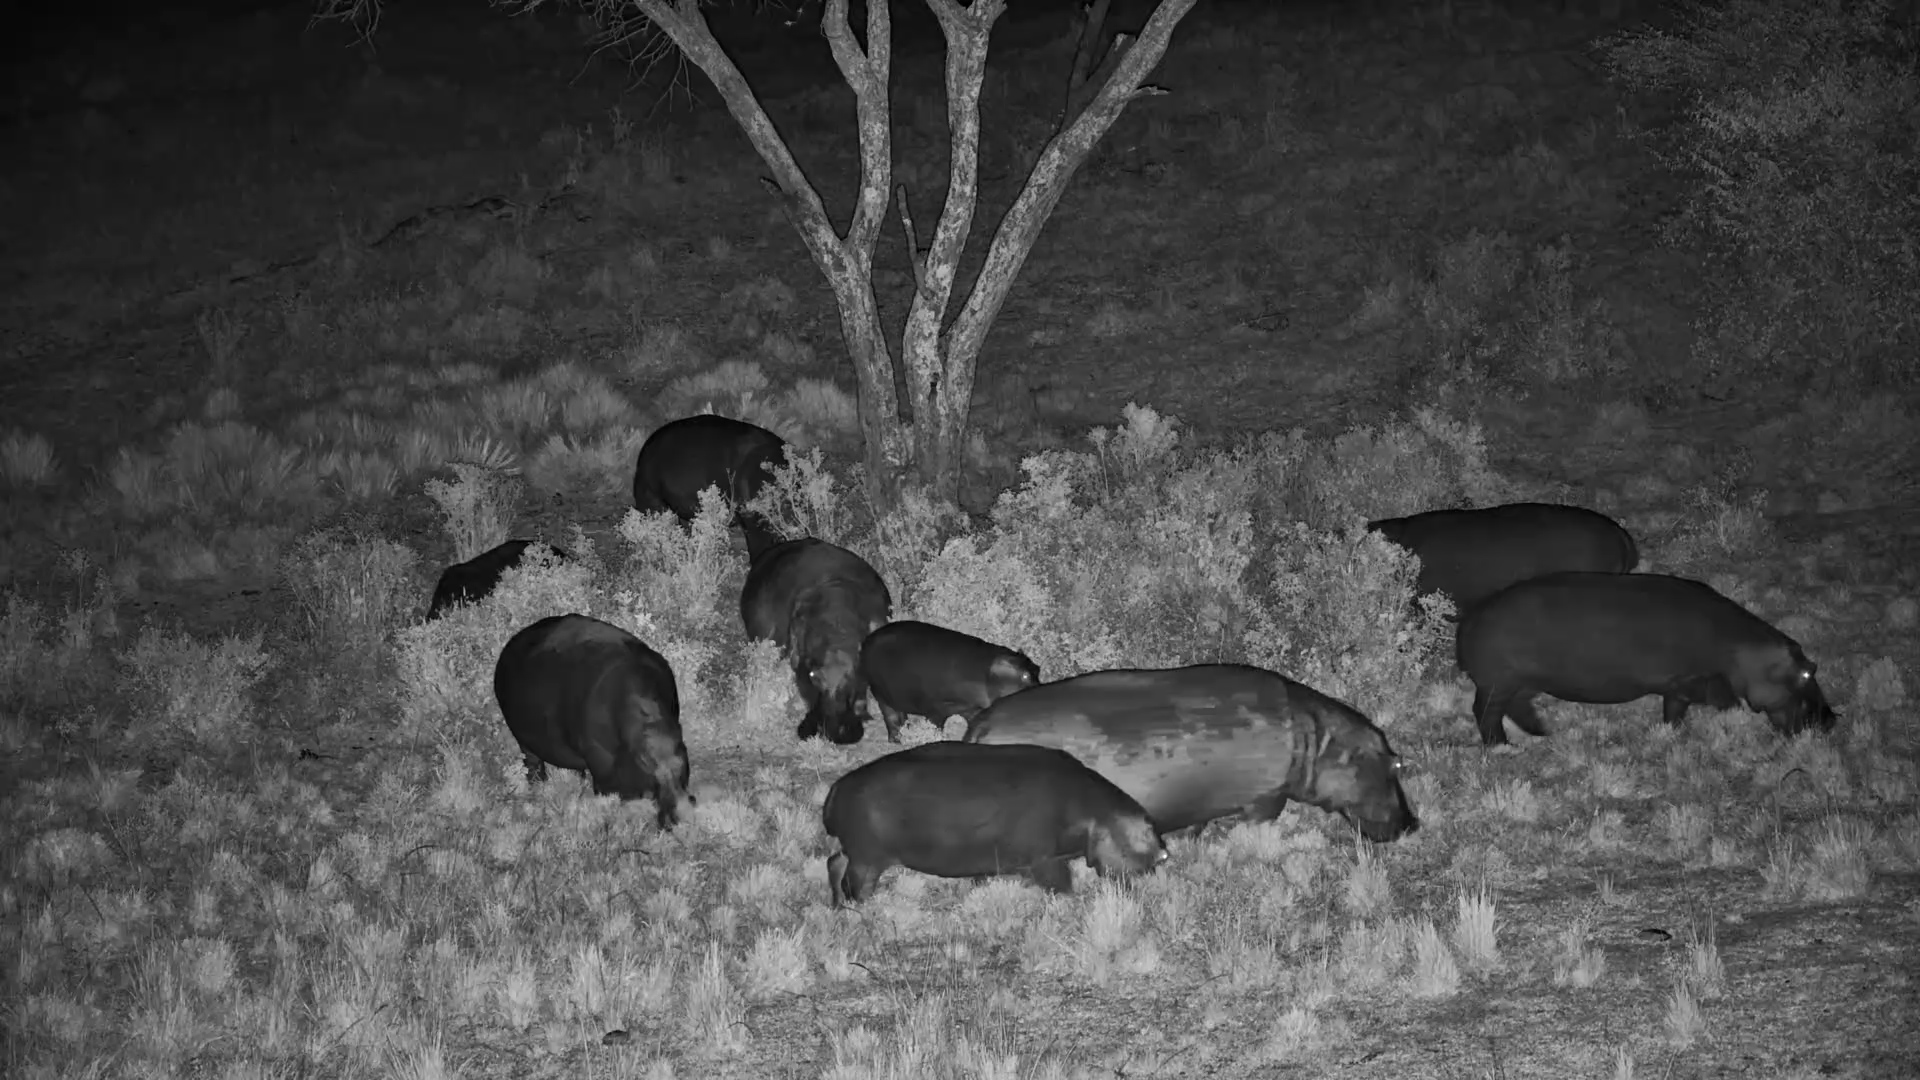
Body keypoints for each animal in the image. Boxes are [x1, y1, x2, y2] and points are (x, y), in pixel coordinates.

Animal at [492, 614, 692, 828]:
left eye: (683, 752)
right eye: (644, 761)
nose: (684, 810)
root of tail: (513, 641)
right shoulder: (602, 763)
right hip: (524, 739)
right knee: (533, 765)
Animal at [821, 741, 1168, 904]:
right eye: (1149, 826)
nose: (1165, 854)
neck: (1094, 809)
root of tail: (837, 788)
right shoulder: (1044, 859)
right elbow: (1062, 884)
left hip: (854, 851)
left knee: (833, 863)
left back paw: (838, 908)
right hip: (867, 858)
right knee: (855, 883)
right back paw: (863, 909)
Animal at [859, 620, 1041, 742]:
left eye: (1037, 668)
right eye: (1025, 676)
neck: (985, 672)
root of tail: (867, 639)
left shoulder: (969, 708)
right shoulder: (935, 710)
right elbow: (935, 728)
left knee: (900, 714)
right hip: (880, 693)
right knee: (890, 716)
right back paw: (897, 740)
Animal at [964, 664, 1418, 842]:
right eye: (1392, 764)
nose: (1412, 823)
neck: (1318, 741)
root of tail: (980, 726)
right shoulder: (1267, 797)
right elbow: (1261, 821)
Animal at [1455, 570, 1837, 746]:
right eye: (1809, 672)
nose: (1832, 720)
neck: (1745, 651)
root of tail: (1471, 618)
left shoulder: (1678, 684)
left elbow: (1674, 709)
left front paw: (1672, 732)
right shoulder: (1696, 679)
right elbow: (1711, 699)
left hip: (1521, 683)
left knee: (1515, 709)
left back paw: (1542, 733)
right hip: (1499, 682)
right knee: (1486, 713)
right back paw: (1502, 747)